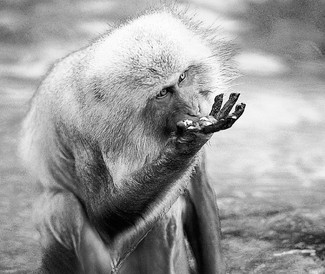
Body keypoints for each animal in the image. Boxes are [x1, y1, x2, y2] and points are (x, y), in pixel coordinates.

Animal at [19, 5, 243, 274]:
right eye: (163, 92)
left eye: (182, 78)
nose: (193, 107)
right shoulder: (78, 126)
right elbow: (103, 216)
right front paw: (186, 145)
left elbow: (200, 195)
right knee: (62, 207)